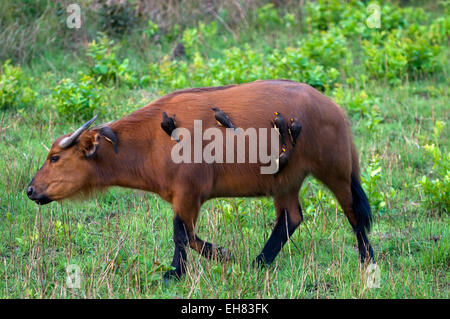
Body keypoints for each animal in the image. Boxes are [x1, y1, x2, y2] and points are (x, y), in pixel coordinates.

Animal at [26, 79, 374, 280]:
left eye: (54, 158)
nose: (30, 190)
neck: (151, 138)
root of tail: (332, 108)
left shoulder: (187, 195)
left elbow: (182, 235)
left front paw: (178, 272)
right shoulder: (184, 199)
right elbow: (187, 235)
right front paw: (215, 258)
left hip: (336, 173)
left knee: (354, 214)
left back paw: (367, 260)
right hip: (285, 184)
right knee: (290, 218)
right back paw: (259, 263)